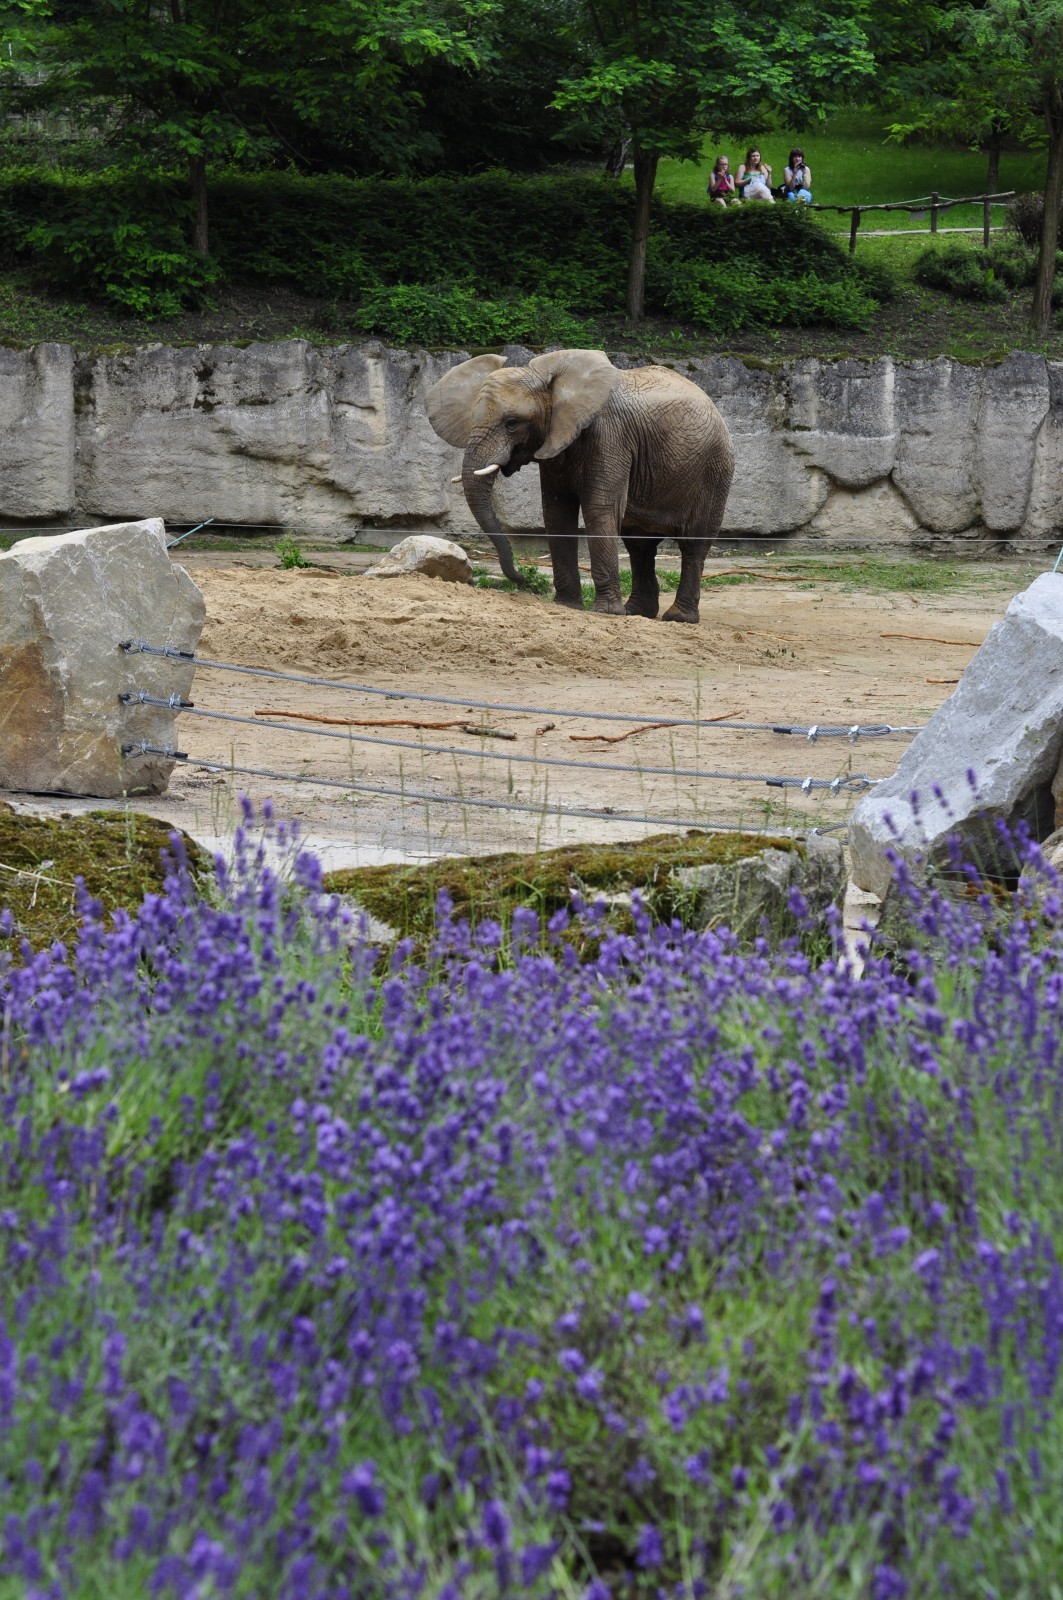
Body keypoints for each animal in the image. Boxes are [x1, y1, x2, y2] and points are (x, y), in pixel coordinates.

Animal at [425, 348, 735, 625]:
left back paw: (678, 618)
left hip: (714, 470)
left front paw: (605, 613)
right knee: (639, 545)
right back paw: (637, 612)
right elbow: (556, 514)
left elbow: (599, 509)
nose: (522, 579)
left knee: (693, 542)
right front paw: (567, 606)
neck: (549, 381)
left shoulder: (610, 437)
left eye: (512, 423)